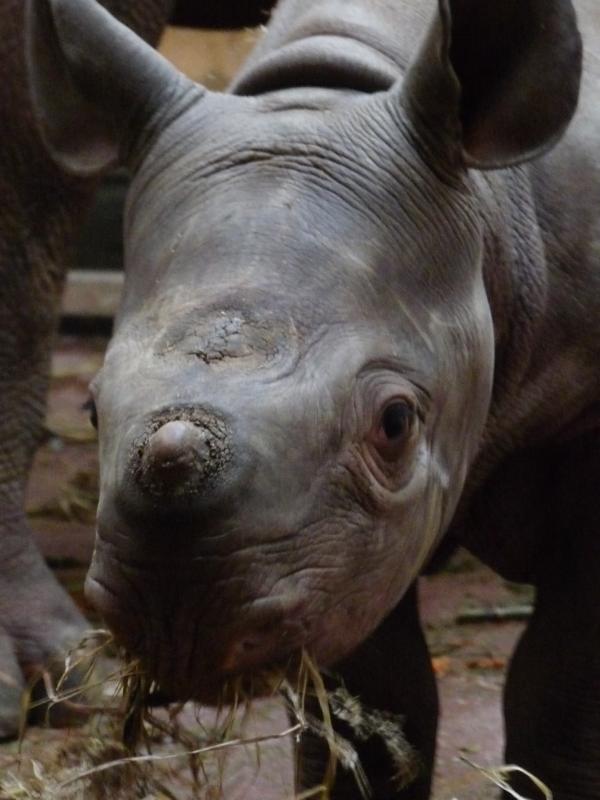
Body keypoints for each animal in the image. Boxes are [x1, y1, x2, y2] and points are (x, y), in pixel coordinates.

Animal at [5, 0, 600, 796]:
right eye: (92, 409)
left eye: (396, 423)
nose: (178, 619)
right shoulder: (333, 542)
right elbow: (377, 691)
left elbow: (558, 687)